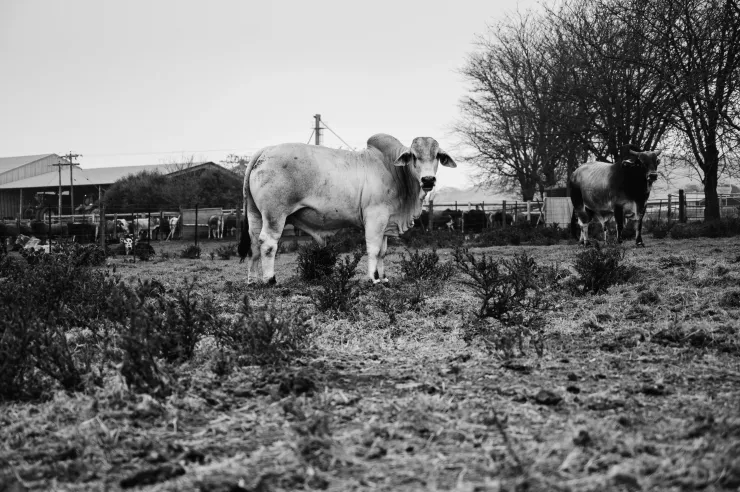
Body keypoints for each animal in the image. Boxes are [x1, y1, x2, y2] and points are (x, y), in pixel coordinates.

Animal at [238, 133, 456, 284]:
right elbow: (373, 249)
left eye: (437, 156)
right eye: (414, 157)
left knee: (254, 244)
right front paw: (373, 279)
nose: (428, 180)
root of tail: (264, 151)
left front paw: (383, 277)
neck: (394, 171)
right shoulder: (375, 218)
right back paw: (270, 279)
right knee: (268, 243)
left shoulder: (386, 222)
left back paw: (253, 280)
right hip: (275, 215)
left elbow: (383, 251)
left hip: (255, 214)